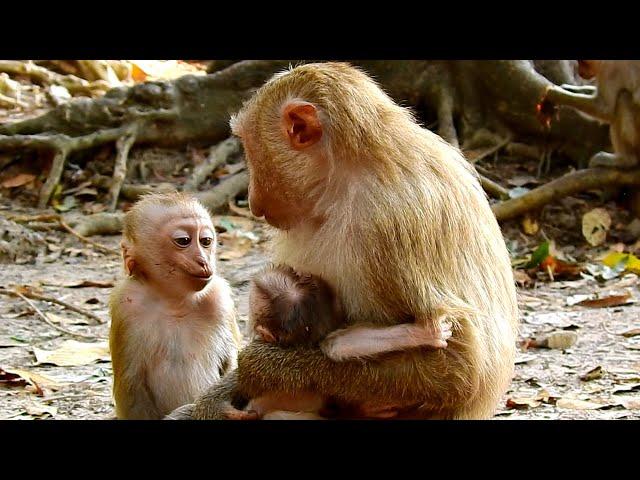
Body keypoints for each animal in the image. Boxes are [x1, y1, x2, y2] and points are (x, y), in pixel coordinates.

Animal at [109, 192, 244, 420]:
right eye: (183, 241)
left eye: (206, 241)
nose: (204, 261)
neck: (174, 301)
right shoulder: (126, 304)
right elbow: (132, 389)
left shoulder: (219, 299)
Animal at [166, 62, 520, 420]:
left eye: (250, 148)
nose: (251, 200)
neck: (350, 176)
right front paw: (212, 401)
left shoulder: (392, 222)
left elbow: (460, 368)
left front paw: (264, 367)